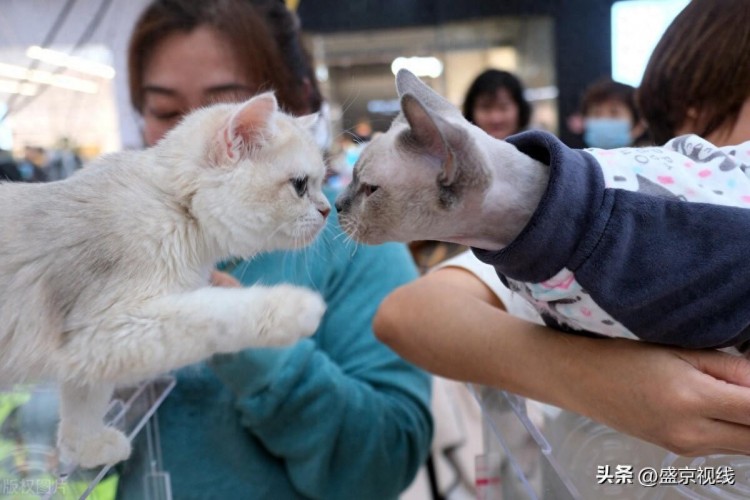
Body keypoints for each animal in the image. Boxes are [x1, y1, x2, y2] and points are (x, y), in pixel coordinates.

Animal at [0, 93, 328, 468]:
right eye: (300, 185)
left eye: (321, 182)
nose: (328, 210)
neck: (174, 206)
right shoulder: (106, 330)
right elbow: (218, 312)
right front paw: (295, 307)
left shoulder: (87, 353)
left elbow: (85, 401)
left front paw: (85, 448)